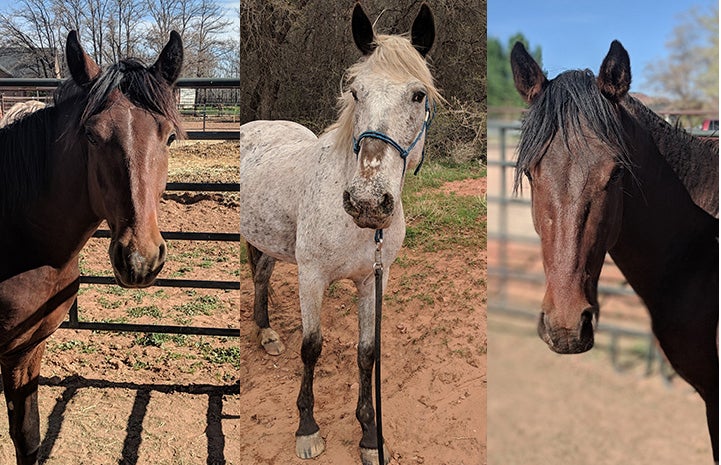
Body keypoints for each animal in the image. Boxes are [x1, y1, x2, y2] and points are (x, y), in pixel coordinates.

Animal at [240, 3, 438, 464]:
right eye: (356, 93)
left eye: (418, 95)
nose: (368, 202)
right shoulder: (311, 277)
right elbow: (312, 346)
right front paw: (307, 429)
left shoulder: (373, 280)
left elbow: (367, 352)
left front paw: (369, 434)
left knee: (261, 276)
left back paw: (266, 332)